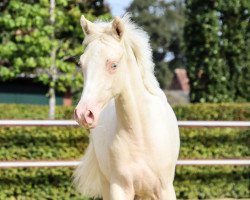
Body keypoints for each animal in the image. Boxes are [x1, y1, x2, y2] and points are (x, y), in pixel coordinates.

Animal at [73, 14, 180, 200]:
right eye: (81, 64)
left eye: (114, 65)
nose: (84, 114)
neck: (141, 136)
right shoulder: (120, 188)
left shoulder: (165, 189)